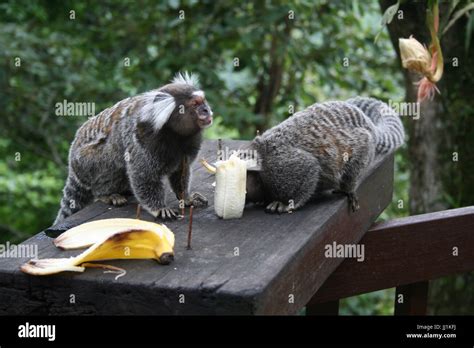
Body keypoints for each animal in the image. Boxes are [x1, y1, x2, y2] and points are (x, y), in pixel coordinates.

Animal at [53, 71, 213, 223]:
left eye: (203, 101)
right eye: (195, 104)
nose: (207, 110)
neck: (173, 133)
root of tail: (72, 165)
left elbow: (181, 171)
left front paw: (185, 198)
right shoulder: (141, 140)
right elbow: (143, 175)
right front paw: (160, 209)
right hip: (85, 162)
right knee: (110, 160)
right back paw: (106, 194)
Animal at [246, 96, 406, 213]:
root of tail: (369, 124)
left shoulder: (279, 166)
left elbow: (310, 167)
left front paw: (286, 203)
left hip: (365, 144)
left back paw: (347, 188)